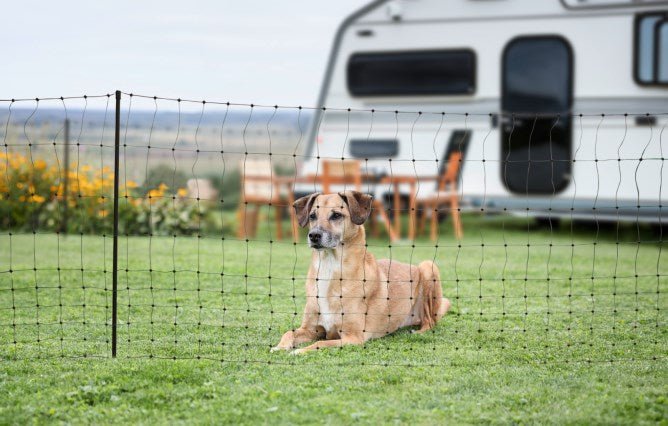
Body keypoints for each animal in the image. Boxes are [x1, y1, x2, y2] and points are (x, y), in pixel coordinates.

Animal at [270, 191, 448, 354]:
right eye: (312, 216)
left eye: (336, 215)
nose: (314, 235)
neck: (330, 267)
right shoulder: (311, 329)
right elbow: (289, 332)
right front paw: (280, 346)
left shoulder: (353, 337)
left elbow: (320, 343)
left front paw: (299, 351)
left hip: (428, 267)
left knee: (430, 322)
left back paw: (418, 331)